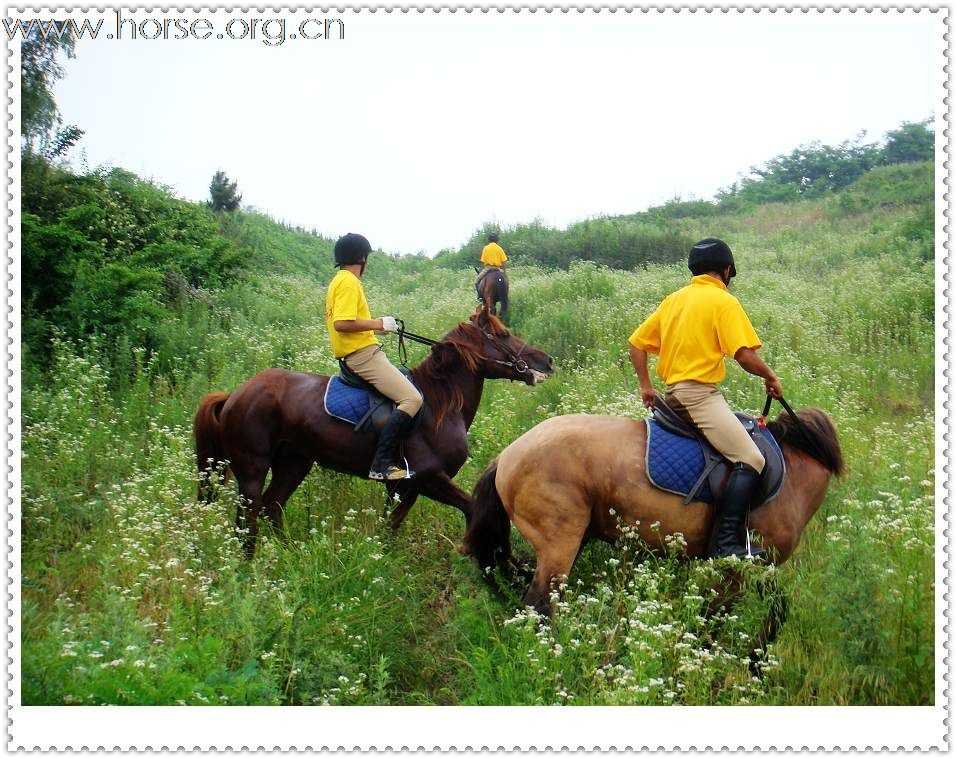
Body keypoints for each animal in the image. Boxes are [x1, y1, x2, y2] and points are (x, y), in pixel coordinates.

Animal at [194, 308, 552, 560]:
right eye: (503, 334)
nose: (546, 361)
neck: (439, 405)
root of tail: (236, 394)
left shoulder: (405, 487)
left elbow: (389, 527)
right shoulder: (427, 478)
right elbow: (471, 509)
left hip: (293, 463)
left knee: (273, 507)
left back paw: (291, 557)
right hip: (252, 470)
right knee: (248, 520)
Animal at [464, 406, 844, 616]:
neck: (792, 472)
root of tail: (505, 457)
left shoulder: (756, 572)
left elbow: (775, 612)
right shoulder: (737, 573)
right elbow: (714, 624)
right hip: (560, 546)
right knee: (539, 605)